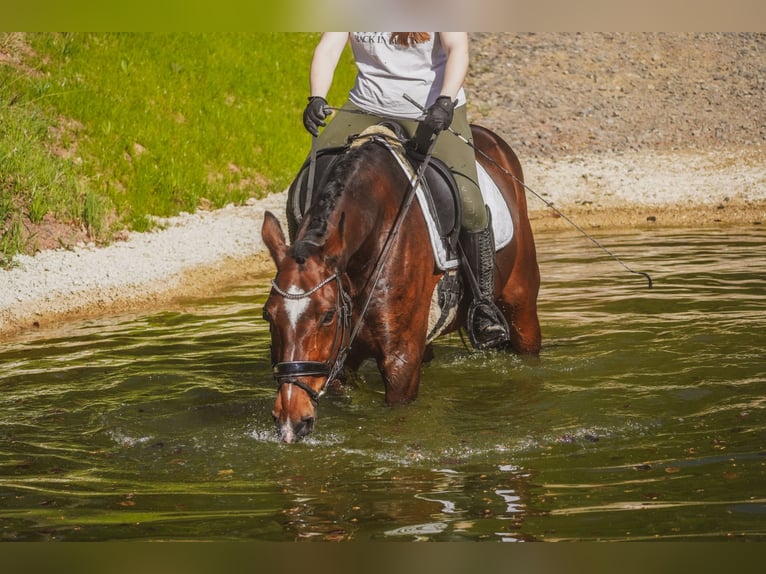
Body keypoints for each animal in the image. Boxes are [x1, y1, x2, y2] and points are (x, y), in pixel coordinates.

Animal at [261, 124, 541, 443]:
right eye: (268, 315)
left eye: (327, 316)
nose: (290, 421)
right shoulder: (343, 362)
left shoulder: (400, 361)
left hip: (521, 308)